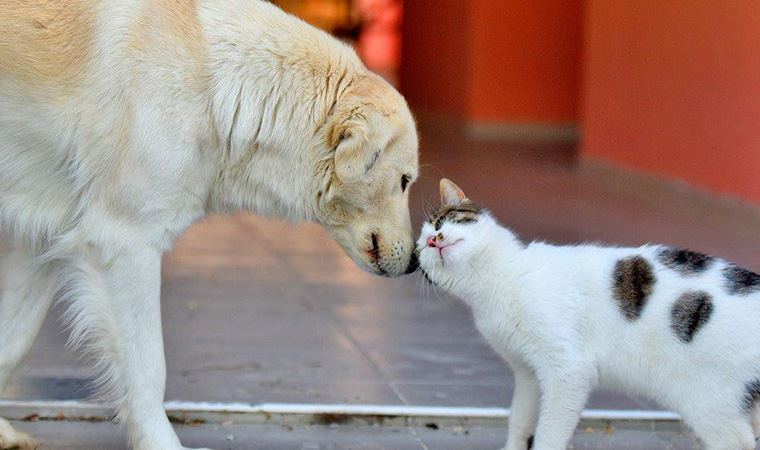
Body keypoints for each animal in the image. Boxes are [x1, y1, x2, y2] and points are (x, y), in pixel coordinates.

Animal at [0, 1, 418, 448]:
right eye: (405, 181)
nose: (415, 262)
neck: (215, 80)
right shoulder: (126, 245)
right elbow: (148, 369)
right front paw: (161, 443)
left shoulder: (41, 242)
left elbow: (13, 339)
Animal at [418, 178, 760, 450]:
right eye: (421, 249)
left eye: (444, 222)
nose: (434, 240)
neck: (497, 282)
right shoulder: (528, 373)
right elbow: (520, 420)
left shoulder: (568, 371)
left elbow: (549, 435)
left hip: (707, 402)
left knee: (739, 441)